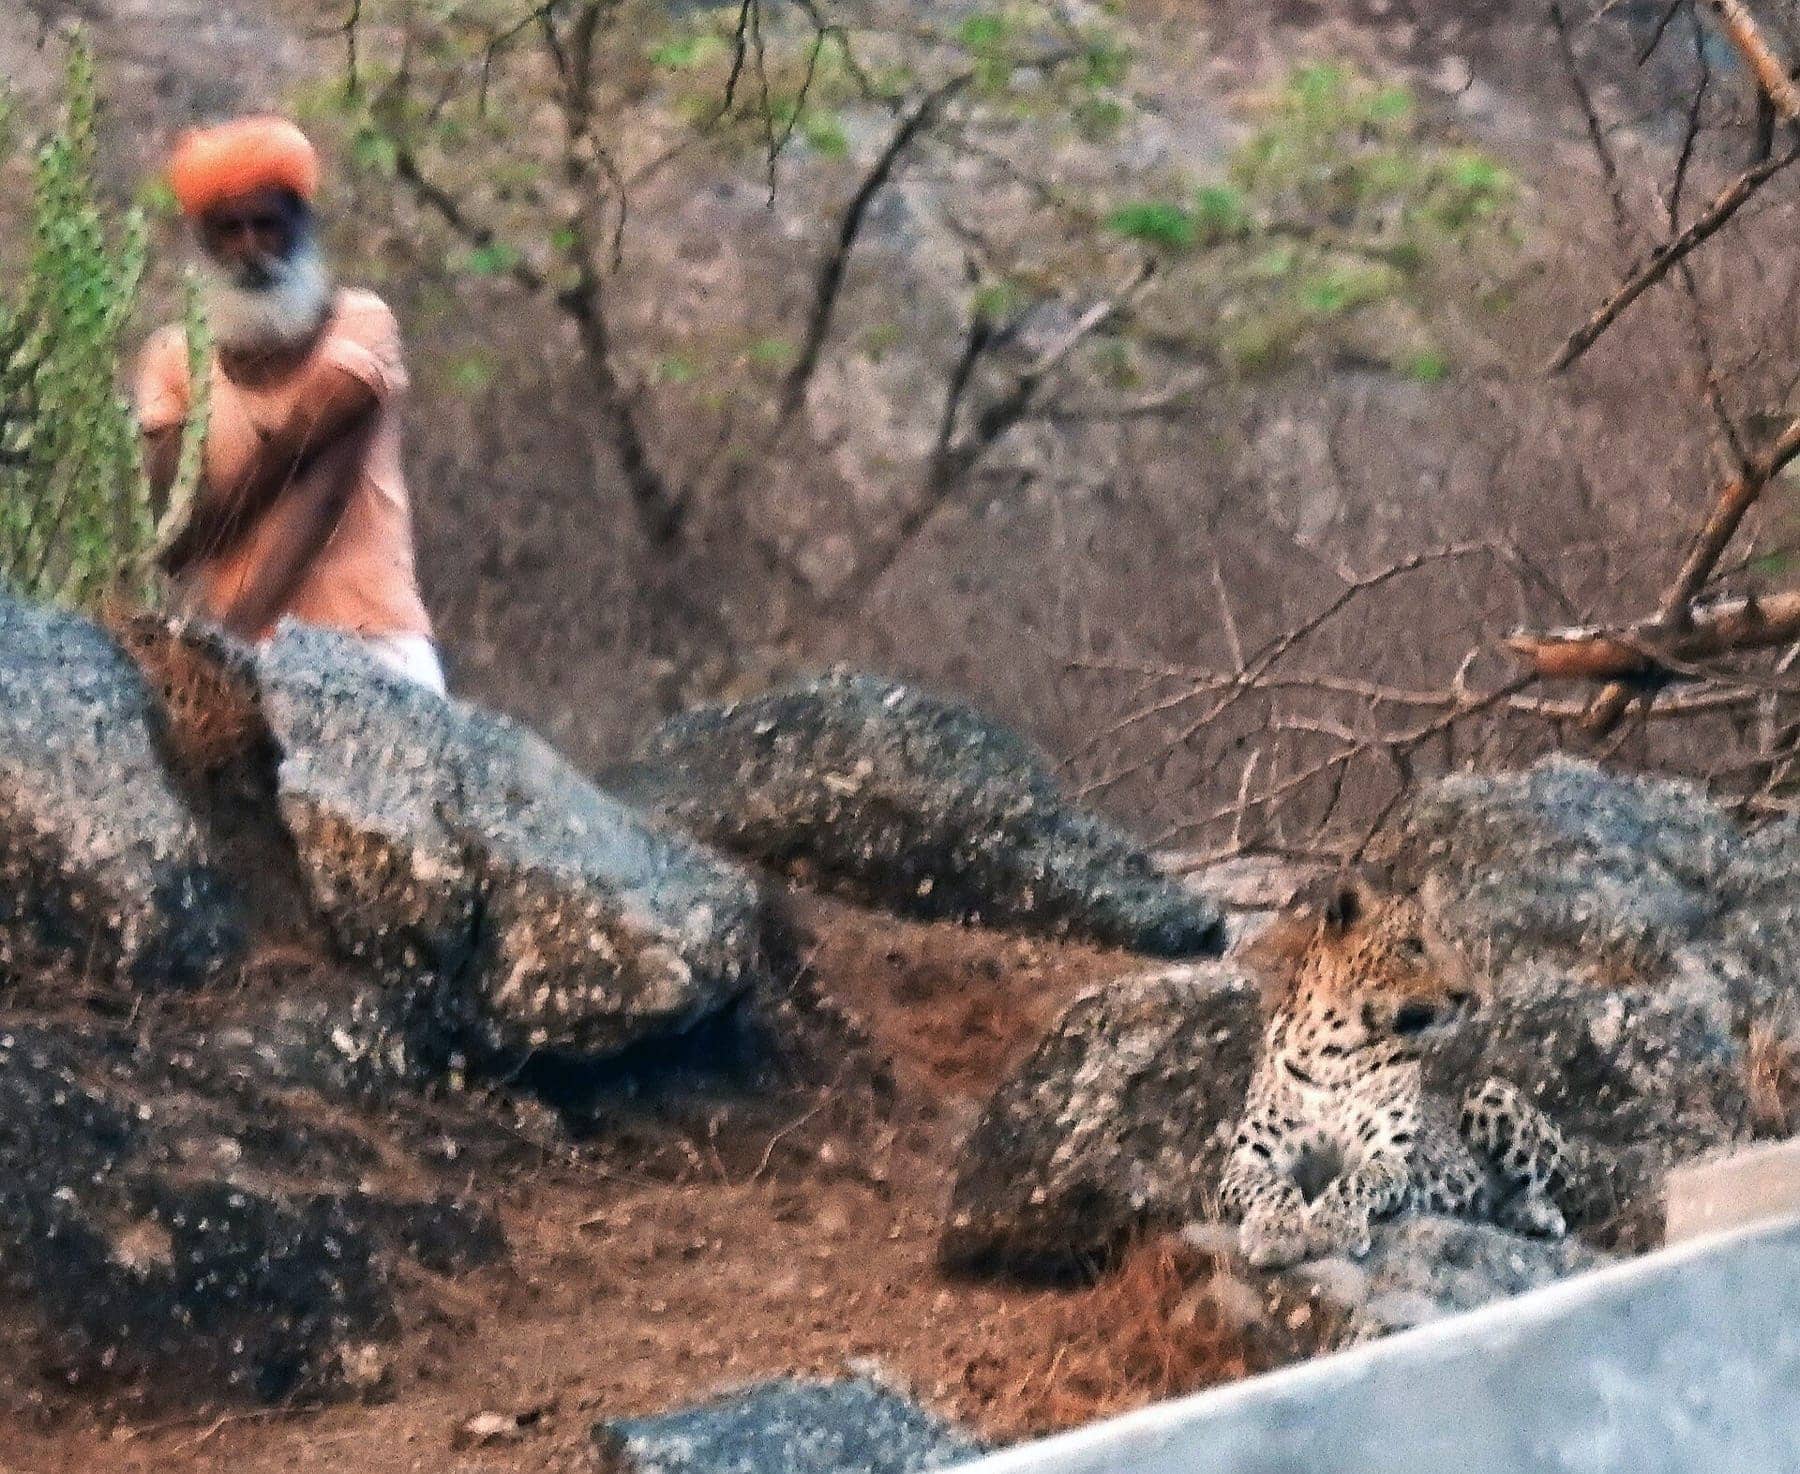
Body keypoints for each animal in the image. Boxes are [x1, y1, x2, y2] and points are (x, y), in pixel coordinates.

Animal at [1219, 878, 1571, 1269]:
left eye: (1450, 942)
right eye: (1411, 946)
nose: (1467, 994)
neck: (1335, 1049)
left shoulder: (1387, 1156)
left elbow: (1355, 1181)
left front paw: (1332, 1226)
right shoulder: (1249, 1159)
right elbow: (1273, 1186)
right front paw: (1275, 1230)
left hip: (1489, 1090)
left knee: (1546, 1186)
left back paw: (1535, 1213)